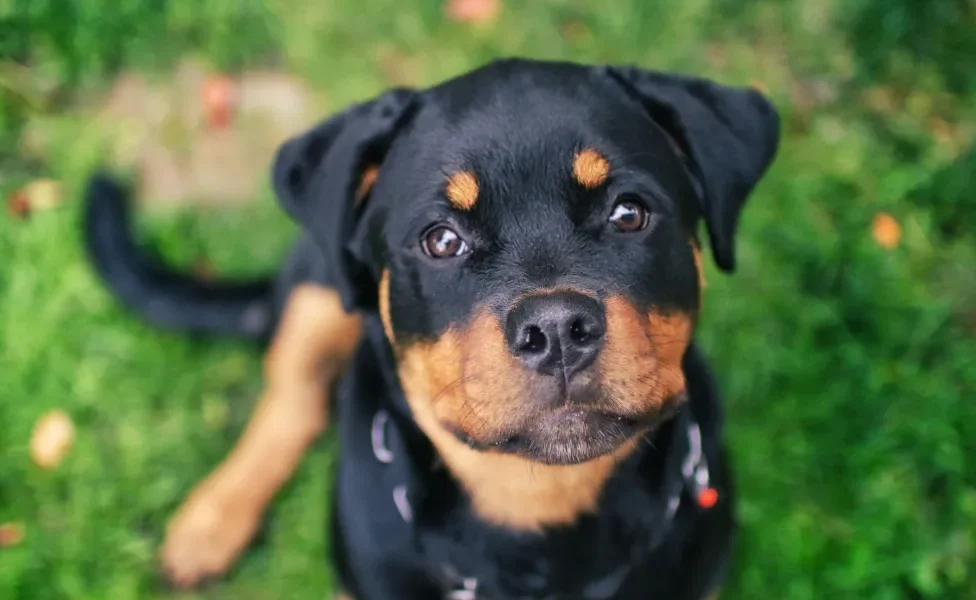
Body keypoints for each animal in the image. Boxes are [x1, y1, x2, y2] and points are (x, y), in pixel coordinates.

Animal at [87, 58, 780, 596]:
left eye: (629, 213)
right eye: (441, 240)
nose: (556, 328)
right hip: (319, 281)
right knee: (294, 395)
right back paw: (209, 524)